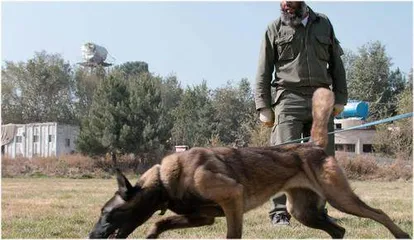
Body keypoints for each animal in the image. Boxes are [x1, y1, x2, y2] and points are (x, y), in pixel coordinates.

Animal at [88, 89, 410, 239]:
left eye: (107, 213)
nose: (90, 235)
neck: (166, 181)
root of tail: (314, 146)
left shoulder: (232, 200)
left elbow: (232, 234)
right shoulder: (203, 217)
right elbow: (160, 221)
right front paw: (153, 233)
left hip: (339, 197)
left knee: (377, 213)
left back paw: (401, 234)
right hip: (303, 211)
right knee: (339, 230)